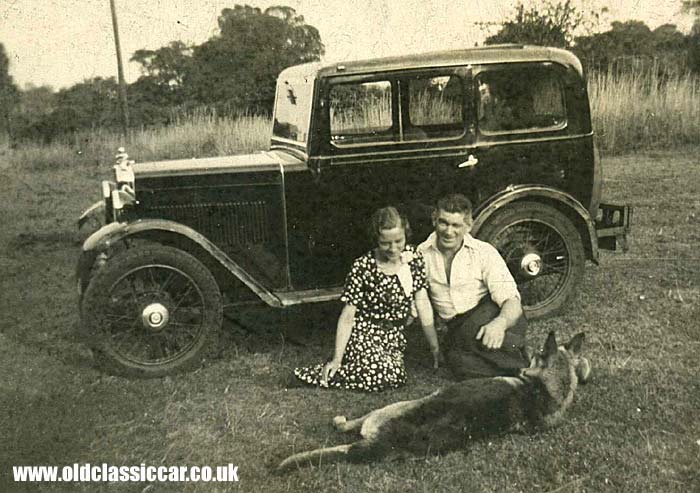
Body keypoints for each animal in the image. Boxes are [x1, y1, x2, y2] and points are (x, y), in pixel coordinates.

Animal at [276, 330, 588, 472]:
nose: (521, 356)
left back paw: (340, 420)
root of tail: (387, 442)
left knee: (346, 425)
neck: (547, 389)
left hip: (388, 408)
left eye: (536, 354)